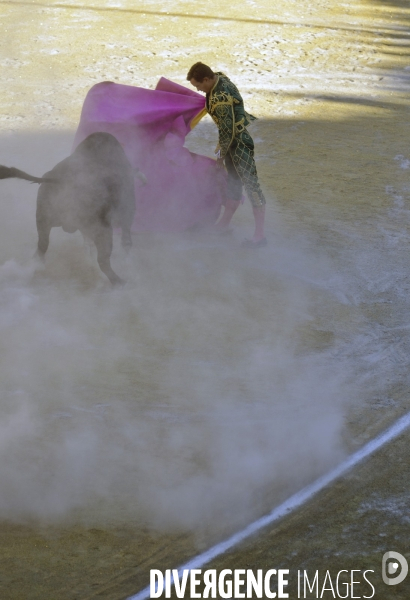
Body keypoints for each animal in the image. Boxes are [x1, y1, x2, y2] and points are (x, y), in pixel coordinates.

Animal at [0, 133, 141, 286]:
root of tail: (63, 180)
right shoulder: (127, 211)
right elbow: (126, 240)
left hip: (44, 220)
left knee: (42, 247)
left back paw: (35, 267)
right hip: (103, 229)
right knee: (103, 260)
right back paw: (119, 281)